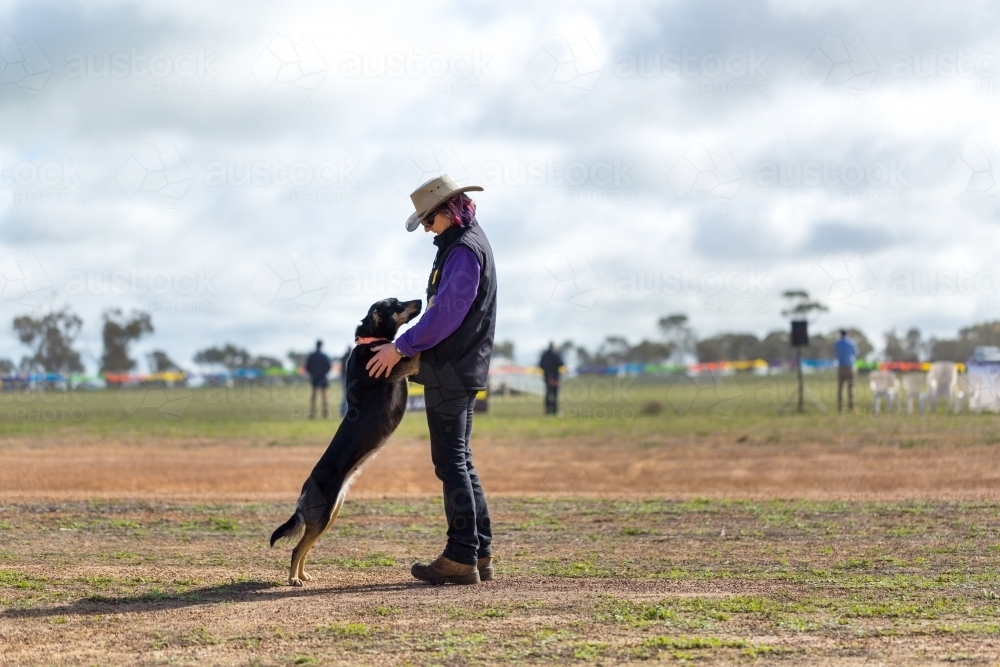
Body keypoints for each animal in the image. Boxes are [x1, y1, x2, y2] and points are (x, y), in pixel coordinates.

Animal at [270, 298, 422, 584]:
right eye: (397, 304)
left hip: (330, 516)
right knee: (297, 548)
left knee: (305, 547)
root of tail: (304, 490)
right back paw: (293, 579)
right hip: (323, 516)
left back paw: (303, 575)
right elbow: (416, 352)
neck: (370, 341)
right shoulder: (403, 365)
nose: (420, 300)